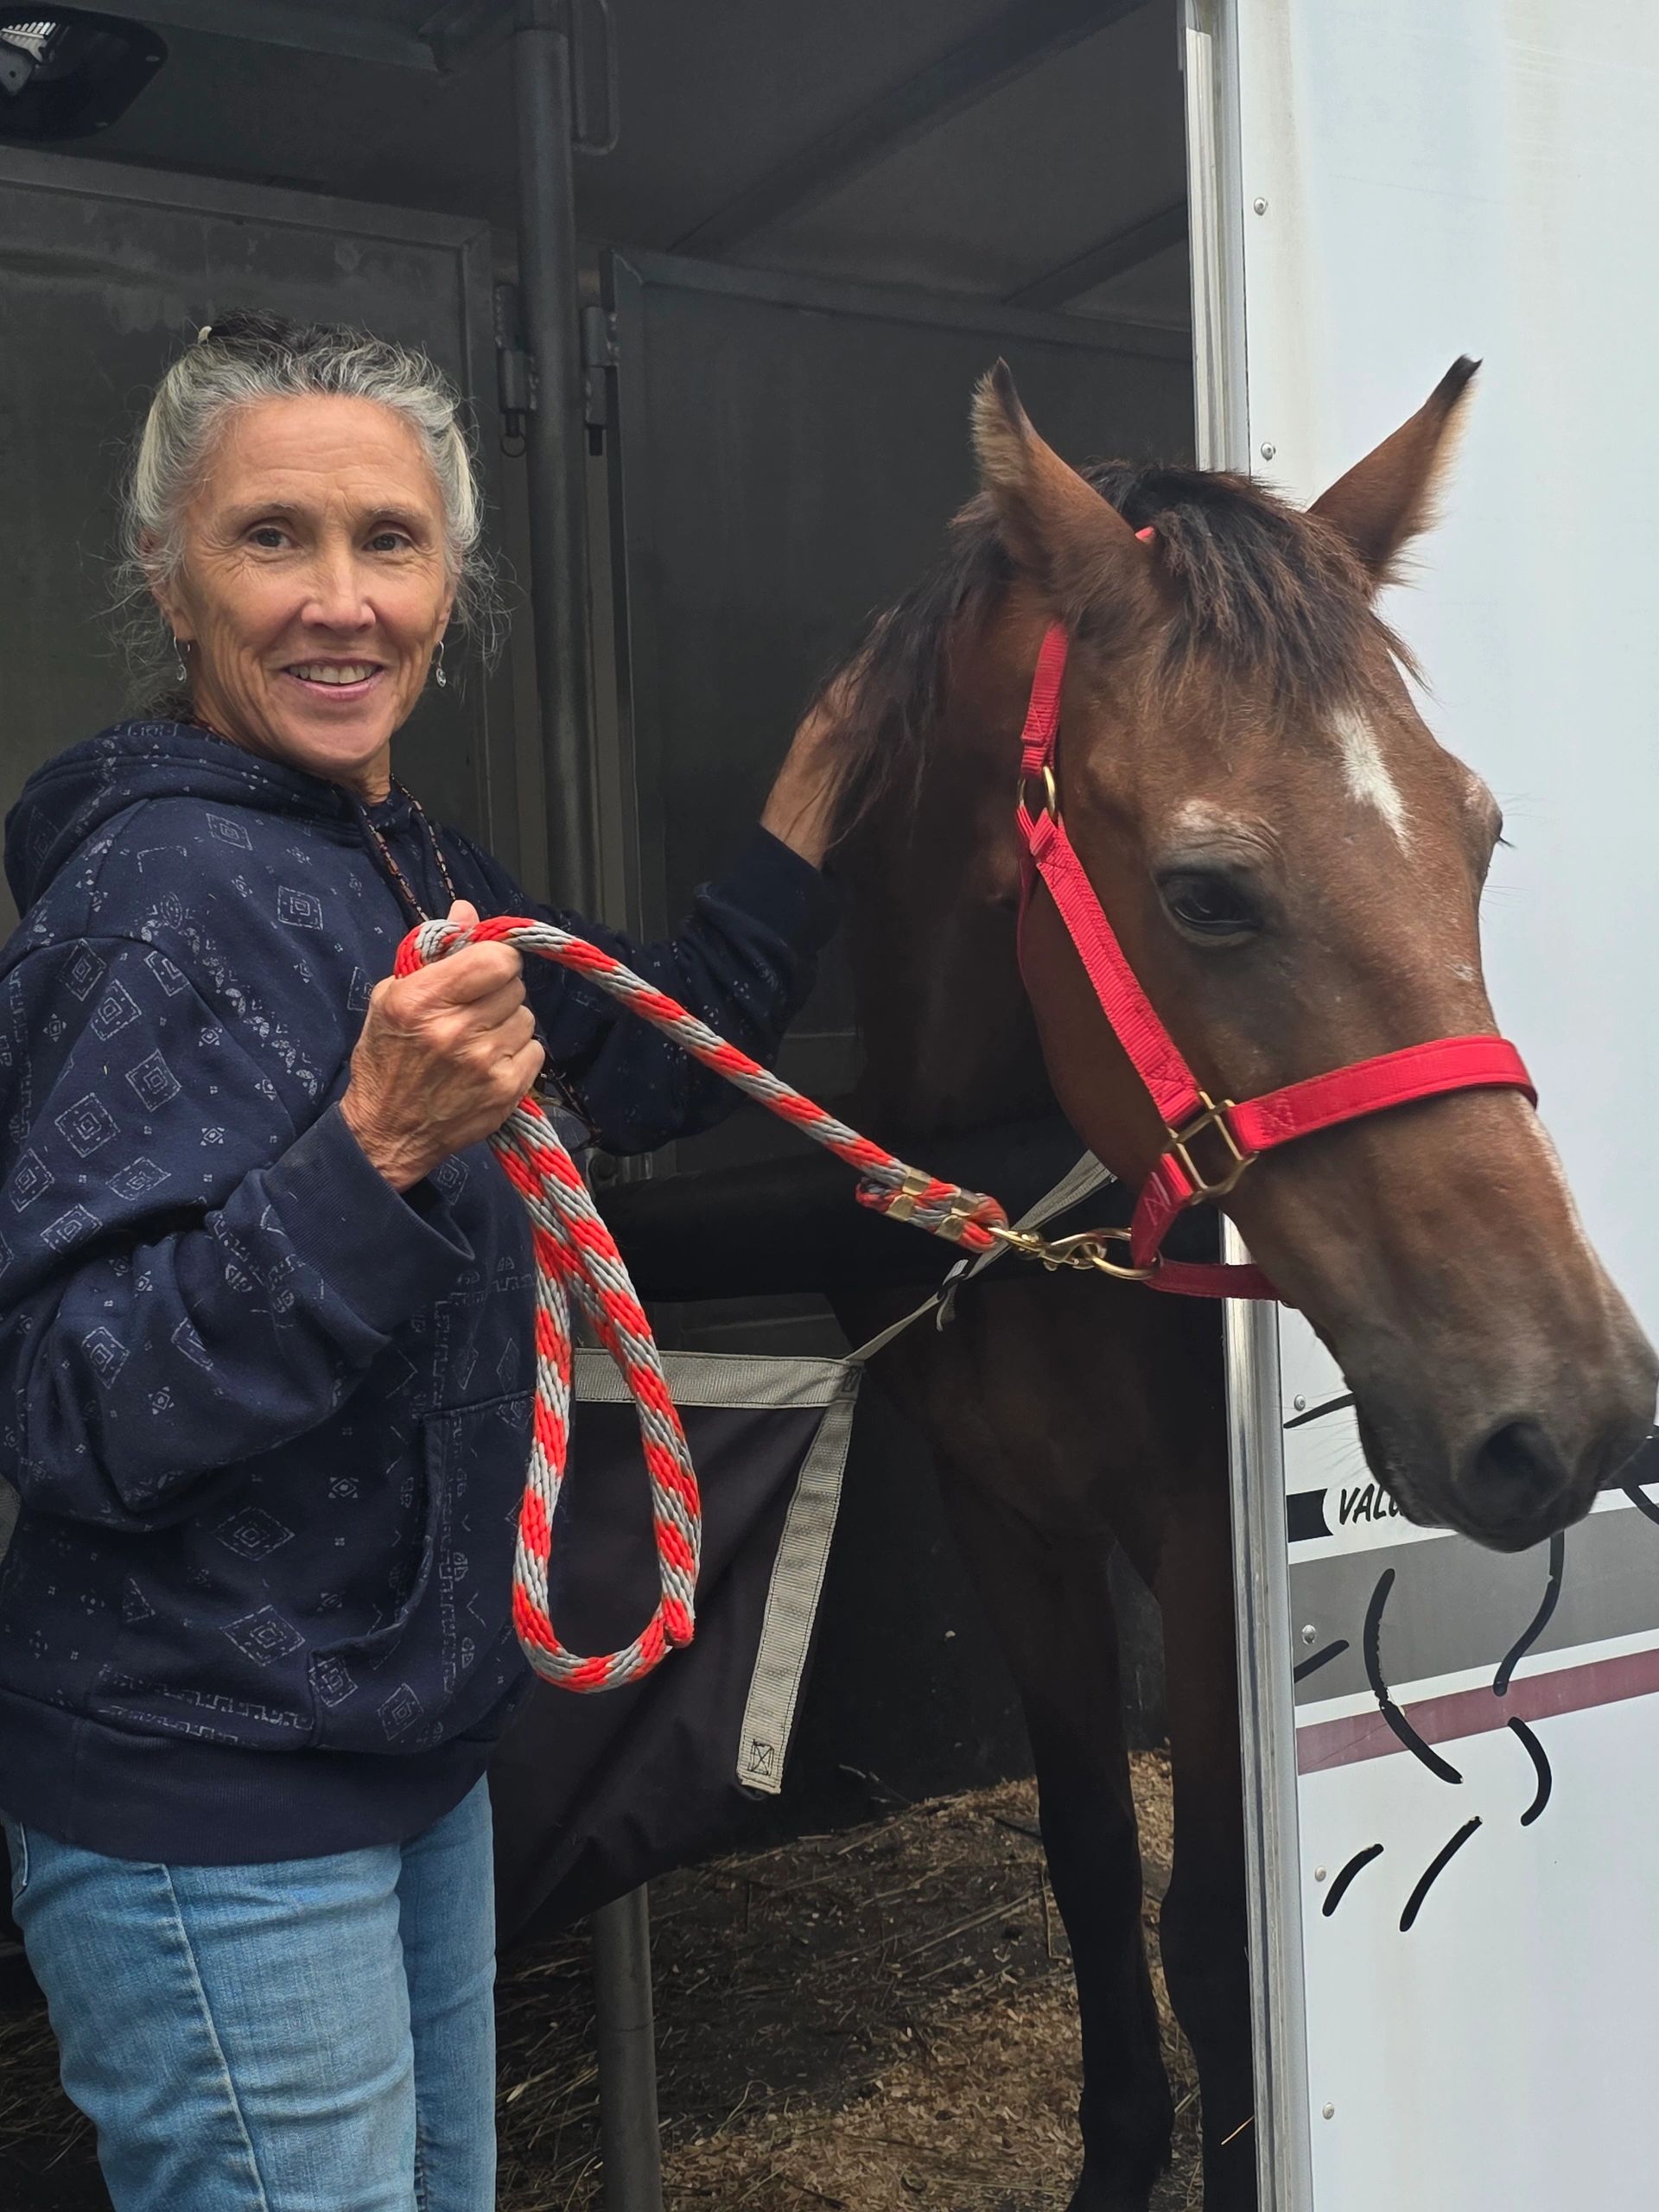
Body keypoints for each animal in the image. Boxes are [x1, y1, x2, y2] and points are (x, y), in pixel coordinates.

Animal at [802, 358, 1658, 2211]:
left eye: (1481, 841)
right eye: (1205, 893)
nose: (1573, 1414)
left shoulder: (1199, 1542)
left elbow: (1211, 1936)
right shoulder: (1009, 1524)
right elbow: (1087, 1865)